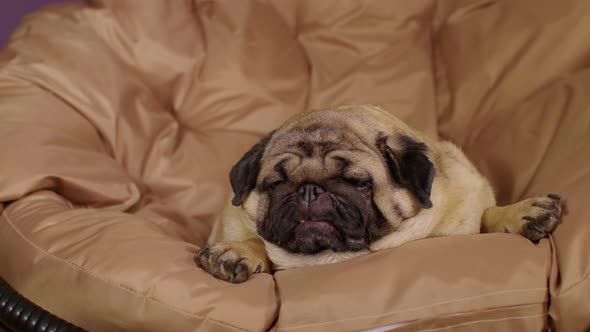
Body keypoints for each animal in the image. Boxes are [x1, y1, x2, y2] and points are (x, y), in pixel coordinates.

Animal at [198, 104, 564, 282]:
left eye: (358, 182)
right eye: (275, 185)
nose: (309, 191)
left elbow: (486, 216)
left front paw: (521, 212)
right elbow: (258, 242)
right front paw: (239, 252)